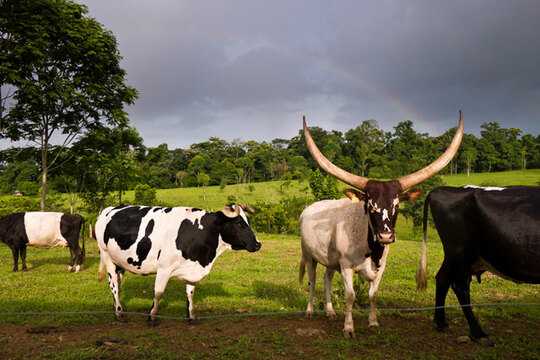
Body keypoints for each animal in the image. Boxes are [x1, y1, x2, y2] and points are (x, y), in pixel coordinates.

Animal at [96, 202, 262, 324]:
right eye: (239, 223)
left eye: (247, 221)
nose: (258, 244)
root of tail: (109, 209)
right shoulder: (164, 268)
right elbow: (158, 293)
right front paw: (152, 316)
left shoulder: (192, 269)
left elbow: (190, 293)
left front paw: (191, 316)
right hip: (107, 257)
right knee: (114, 285)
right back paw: (119, 312)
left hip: (120, 262)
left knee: (118, 283)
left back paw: (117, 306)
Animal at [418, 187, 540, 344]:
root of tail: (443, 189)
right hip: (460, 252)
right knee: (460, 286)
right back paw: (478, 333)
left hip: (456, 256)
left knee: (443, 278)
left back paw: (441, 323)